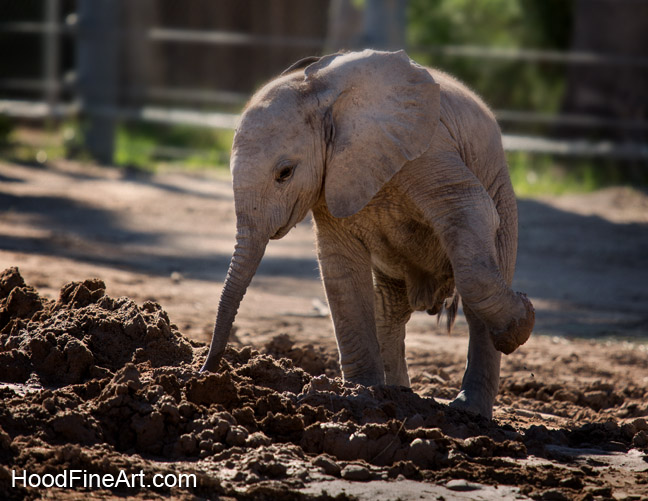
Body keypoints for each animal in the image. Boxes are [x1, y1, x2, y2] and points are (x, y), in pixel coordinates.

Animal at [201, 49, 534, 419]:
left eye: (284, 173)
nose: (206, 372)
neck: (321, 95)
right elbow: (340, 266)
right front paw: (362, 395)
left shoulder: (428, 147)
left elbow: (472, 211)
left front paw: (524, 320)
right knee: (390, 310)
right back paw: (398, 394)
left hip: (501, 189)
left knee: (478, 293)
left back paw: (469, 410)